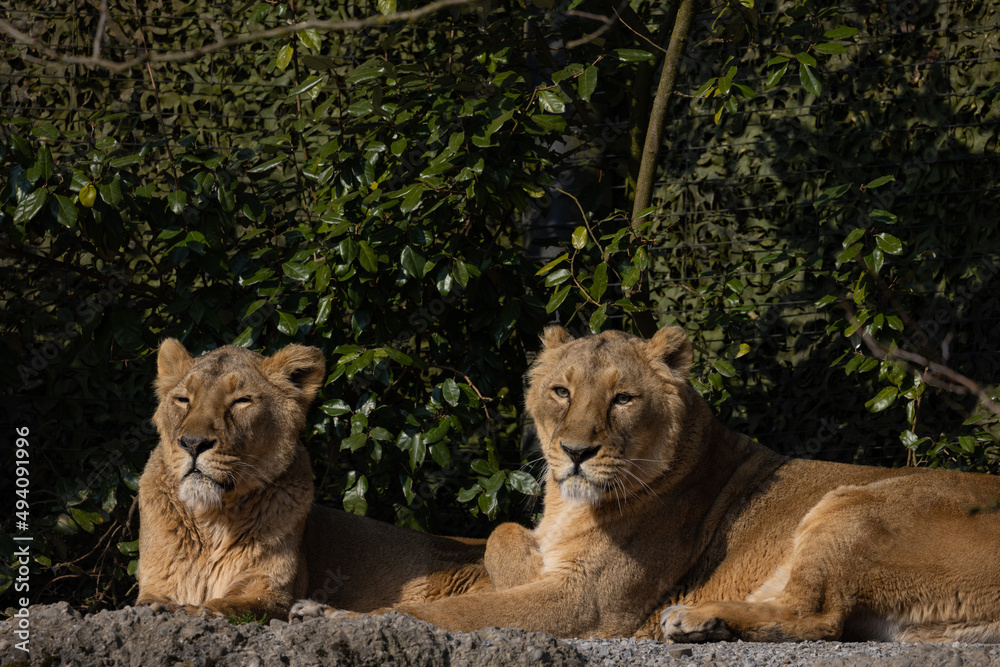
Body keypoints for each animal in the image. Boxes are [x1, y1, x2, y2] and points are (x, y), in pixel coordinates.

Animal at [136, 339, 491, 621]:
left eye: (241, 401)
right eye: (183, 399)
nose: (193, 443)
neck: (212, 519)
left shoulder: (271, 593)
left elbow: (226, 605)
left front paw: (183, 609)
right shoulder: (156, 583)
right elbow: (148, 601)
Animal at [293, 325, 1000, 642]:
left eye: (624, 399)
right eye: (561, 391)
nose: (576, 452)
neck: (566, 503)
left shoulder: (586, 604)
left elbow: (450, 610)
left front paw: (337, 616)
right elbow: (499, 534)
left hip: (856, 502)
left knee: (818, 618)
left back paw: (694, 620)